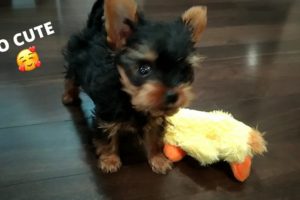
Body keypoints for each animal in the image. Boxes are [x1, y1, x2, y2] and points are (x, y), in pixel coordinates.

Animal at [62, 0, 207, 174]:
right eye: (144, 69)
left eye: (184, 71)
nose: (173, 95)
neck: (130, 99)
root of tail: (93, 30)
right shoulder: (106, 114)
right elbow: (106, 135)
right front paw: (110, 159)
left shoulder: (154, 117)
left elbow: (153, 137)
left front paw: (157, 158)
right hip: (74, 61)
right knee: (70, 77)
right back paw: (69, 96)